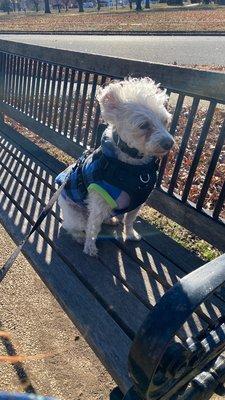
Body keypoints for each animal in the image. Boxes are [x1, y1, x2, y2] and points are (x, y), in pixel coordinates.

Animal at [55, 76, 174, 256]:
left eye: (165, 121)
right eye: (144, 125)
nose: (170, 143)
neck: (133, 168)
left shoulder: (137, 203)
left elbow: (129, 220)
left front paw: (130, 234)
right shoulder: (98, 203)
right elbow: (93, 228)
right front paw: (90, 248)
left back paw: (110, 220)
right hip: (77, 216)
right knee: (72, 226)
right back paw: (79, 237)